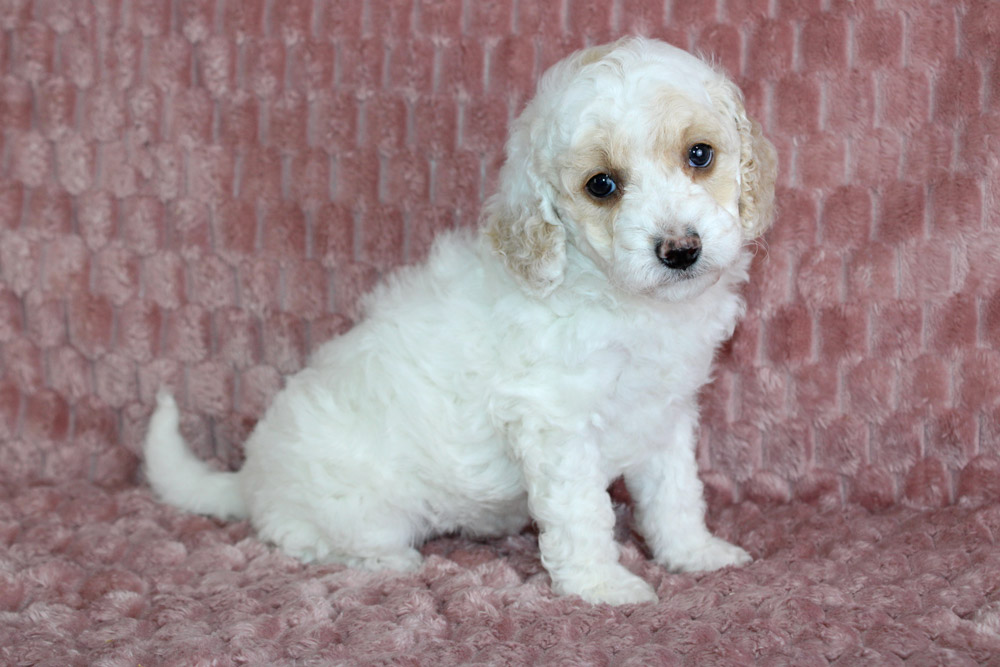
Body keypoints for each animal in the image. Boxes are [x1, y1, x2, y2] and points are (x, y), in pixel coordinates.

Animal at [144, 36, 777, 605]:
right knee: (304, 537)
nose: (680, 250)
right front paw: (602, 586)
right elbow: (583, 513)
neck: (626, 300)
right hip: (357, 509)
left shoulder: (664, 414)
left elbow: (676, 494)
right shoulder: (555, 423)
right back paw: (387, 560)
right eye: (602, 185)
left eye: (700, 154)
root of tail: (249, 476)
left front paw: (696, 554)